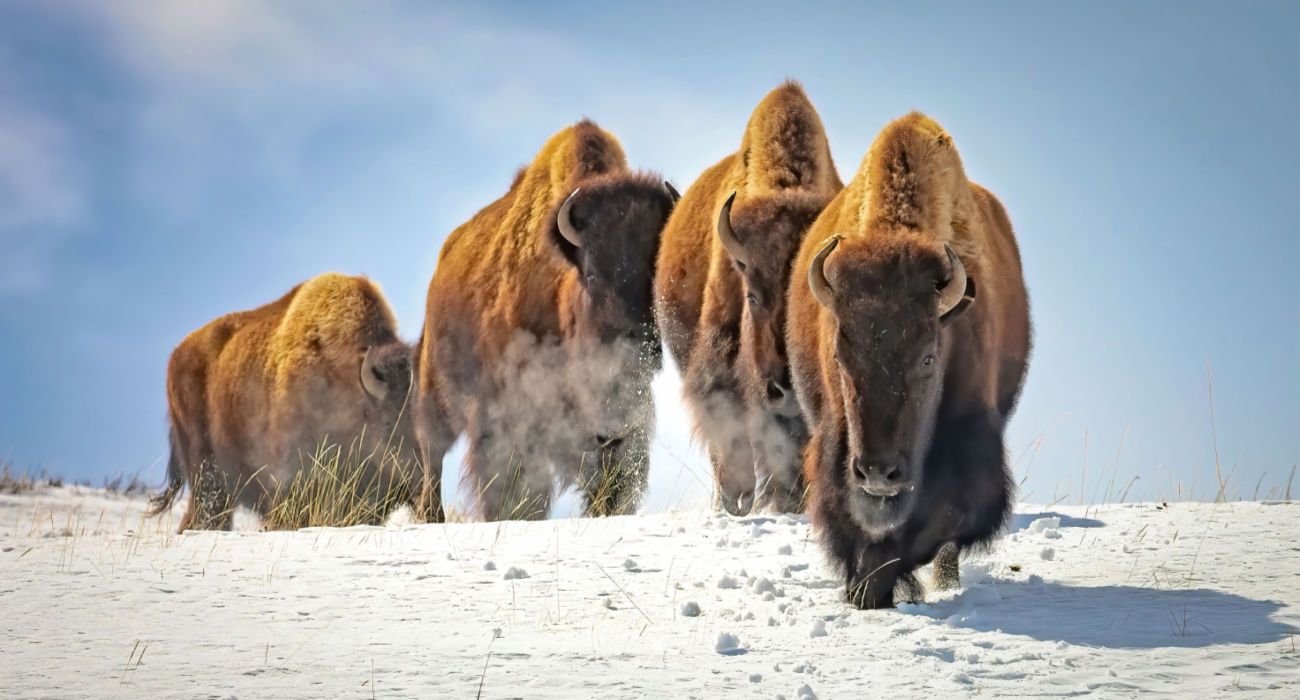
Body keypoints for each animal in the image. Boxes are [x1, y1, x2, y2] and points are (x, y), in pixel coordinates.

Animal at [785, 113, 1029, 603]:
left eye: (928, 359)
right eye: (839, 356)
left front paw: (879, 587)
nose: (879, 473)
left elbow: (938, 523)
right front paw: (864, 590)